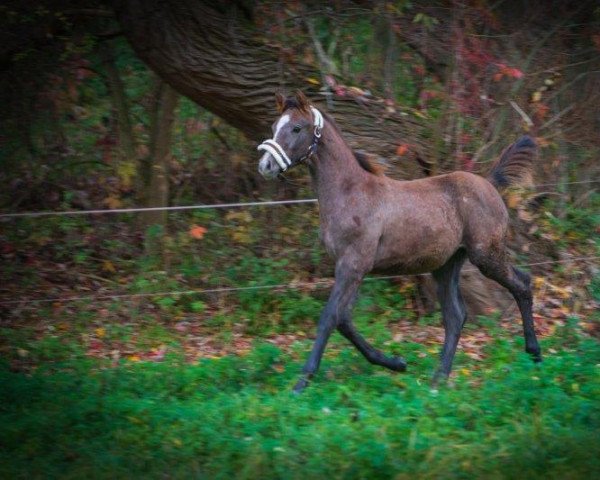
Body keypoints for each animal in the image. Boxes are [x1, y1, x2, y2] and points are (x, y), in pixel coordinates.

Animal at [255, 91, 540, 394]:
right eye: (274, 126)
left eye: (297, 128)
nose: (265, 166)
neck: (350, 192)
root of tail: (490, 184)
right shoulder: (353, 268)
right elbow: (344, 320)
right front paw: (396, 363)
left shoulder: (353, 264)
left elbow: (329, 317)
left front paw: (301, 383)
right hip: (447, 265)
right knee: (456, 316)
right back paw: (438, 380)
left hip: (486, 255)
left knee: (522, 284)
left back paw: (534, 355)